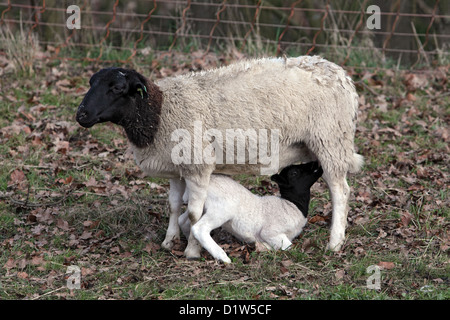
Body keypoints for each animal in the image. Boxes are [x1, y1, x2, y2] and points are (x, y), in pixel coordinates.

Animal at [77, 55, 364, 260]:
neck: (159, 113)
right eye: (91, 83)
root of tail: (342, 75)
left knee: (340, 191)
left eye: (117, 88)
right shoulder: (178, 167)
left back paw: (335, 242)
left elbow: (194, 215)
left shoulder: (198, 165)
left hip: (330, 139)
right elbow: (173, 206)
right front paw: (169, 241)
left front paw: (192, 251)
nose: (81, 115)